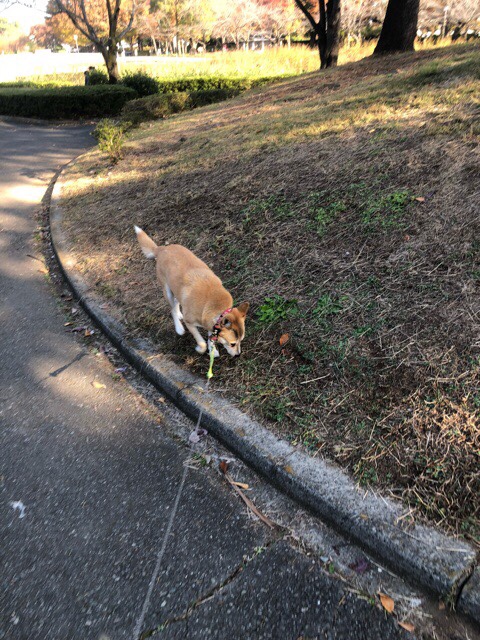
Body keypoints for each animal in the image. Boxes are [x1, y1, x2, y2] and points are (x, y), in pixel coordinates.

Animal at [134, 226, 249, 357]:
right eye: (233, 344)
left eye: (241, 340)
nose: (238, 354)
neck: (213, 304)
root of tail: (162, 248)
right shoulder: (190, 323)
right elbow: (202, 342)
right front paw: (201, 349)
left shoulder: (211, 325)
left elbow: (210, 338)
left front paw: (213, 350)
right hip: (167, 291)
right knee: (172, 309)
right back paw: (179, 327)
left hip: (176, 288)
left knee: (177, 302)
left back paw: (179, 313)